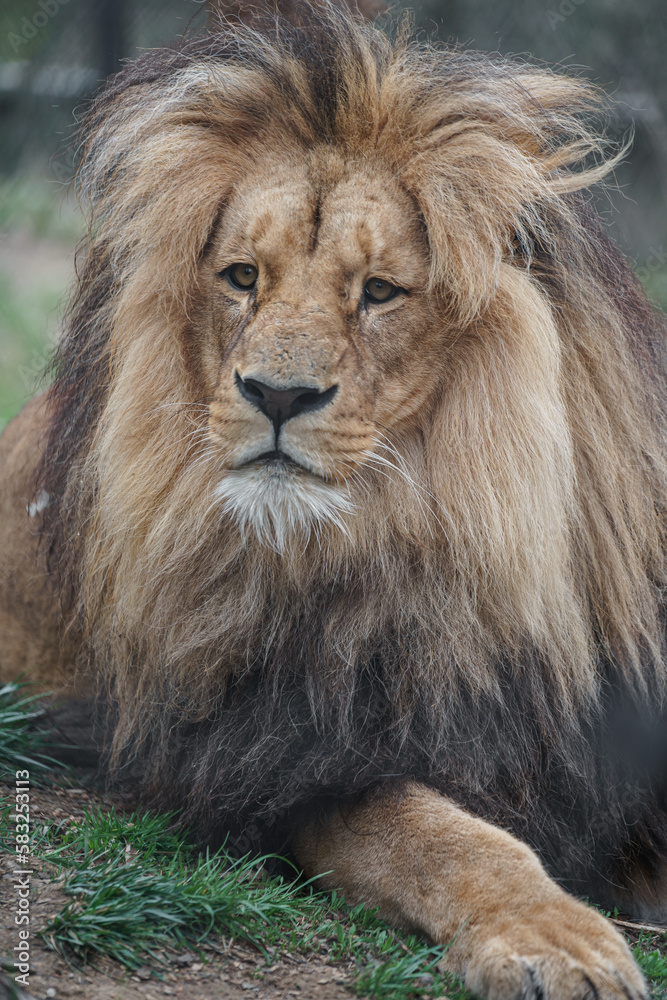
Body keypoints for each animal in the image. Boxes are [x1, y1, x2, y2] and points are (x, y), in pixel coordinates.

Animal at [1, 3, 666, 997]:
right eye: (242, 277)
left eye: (379, 292)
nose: (277, 396)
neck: (416, 529)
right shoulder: (280, 758)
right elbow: (442, 835)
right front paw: (553, 938)